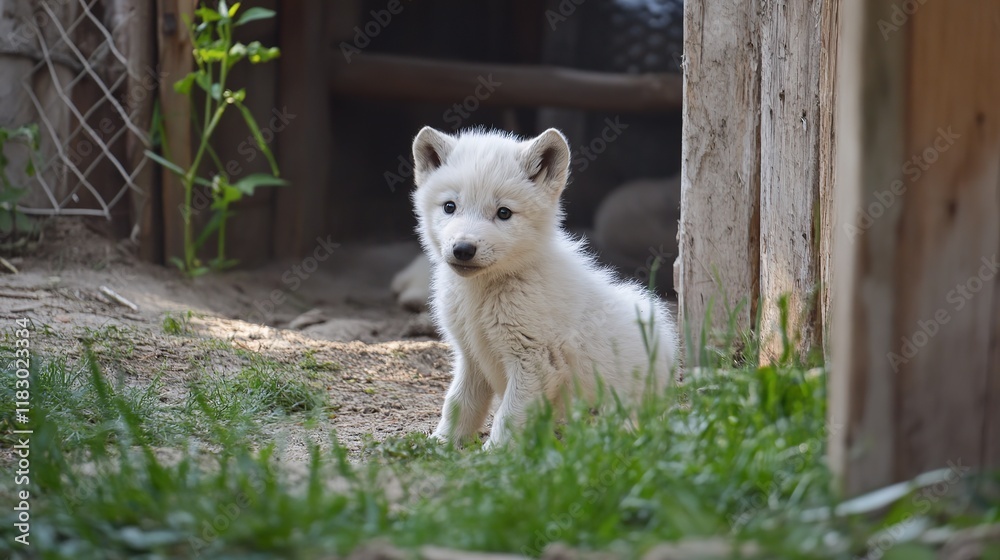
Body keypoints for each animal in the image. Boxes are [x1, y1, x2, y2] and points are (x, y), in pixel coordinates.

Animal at [411, 126, 679, 449]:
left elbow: (508, 415)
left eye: (504, 213)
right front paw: (440, 444)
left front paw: (494, 454)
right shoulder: (471, 357)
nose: (463, 249)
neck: (484, 291)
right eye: (450, 207)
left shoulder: (534, 359)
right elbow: (458, 403)